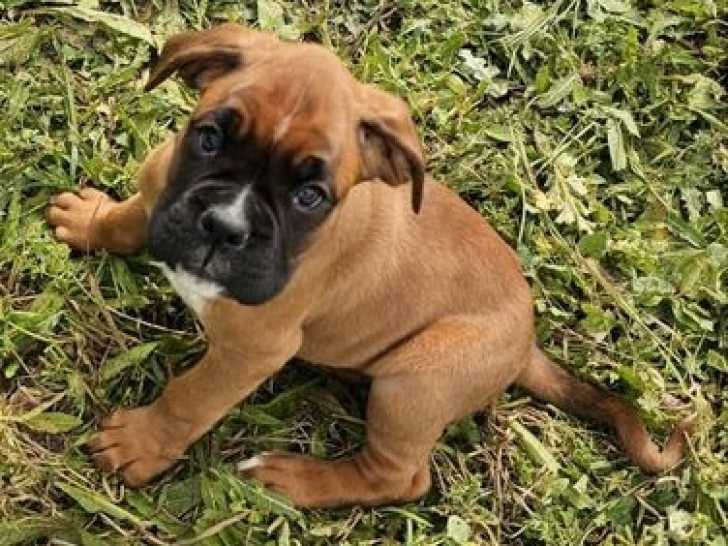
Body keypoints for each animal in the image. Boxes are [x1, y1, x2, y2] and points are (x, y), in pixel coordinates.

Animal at [46, 24, 693, 508]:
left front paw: (141, 443)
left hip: (413, 383)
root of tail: (526, 345)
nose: (225, 228)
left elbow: (190, 398)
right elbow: (130, 219)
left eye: (312, 197)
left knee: (399, 477)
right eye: (208, 138)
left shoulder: (251, 350)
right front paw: (91, 220)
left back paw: (292, 480)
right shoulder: (162, 195)